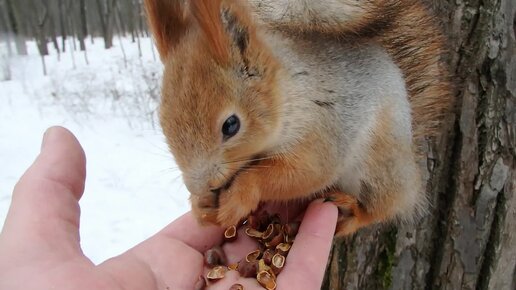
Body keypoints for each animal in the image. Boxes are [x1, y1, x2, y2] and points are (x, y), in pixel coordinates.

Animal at [143, 0, 454, 236]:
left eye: (231, 125)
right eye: (163, 122)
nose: (198, 186)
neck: (290, 93)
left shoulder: (324, 126)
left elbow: (305, 173)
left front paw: (239, 196)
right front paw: (201, 206)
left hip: (381, 169)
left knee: (386, 207)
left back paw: (352, 212)